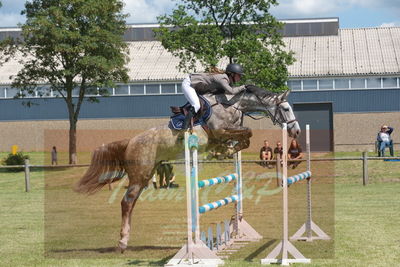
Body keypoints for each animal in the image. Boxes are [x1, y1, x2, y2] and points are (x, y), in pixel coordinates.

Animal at [74, 86, 300, 253]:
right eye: (286, 109)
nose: (296, 131)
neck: (232, 105)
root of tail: (130, 141)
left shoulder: (225, 133)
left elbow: (244, 137)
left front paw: (226, 151)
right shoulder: (220, 131)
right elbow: (248, 133)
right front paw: (227, 150)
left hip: (146, 175)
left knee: (132, 202)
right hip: (140, 174)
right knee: (126, 202)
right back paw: (122, 243)